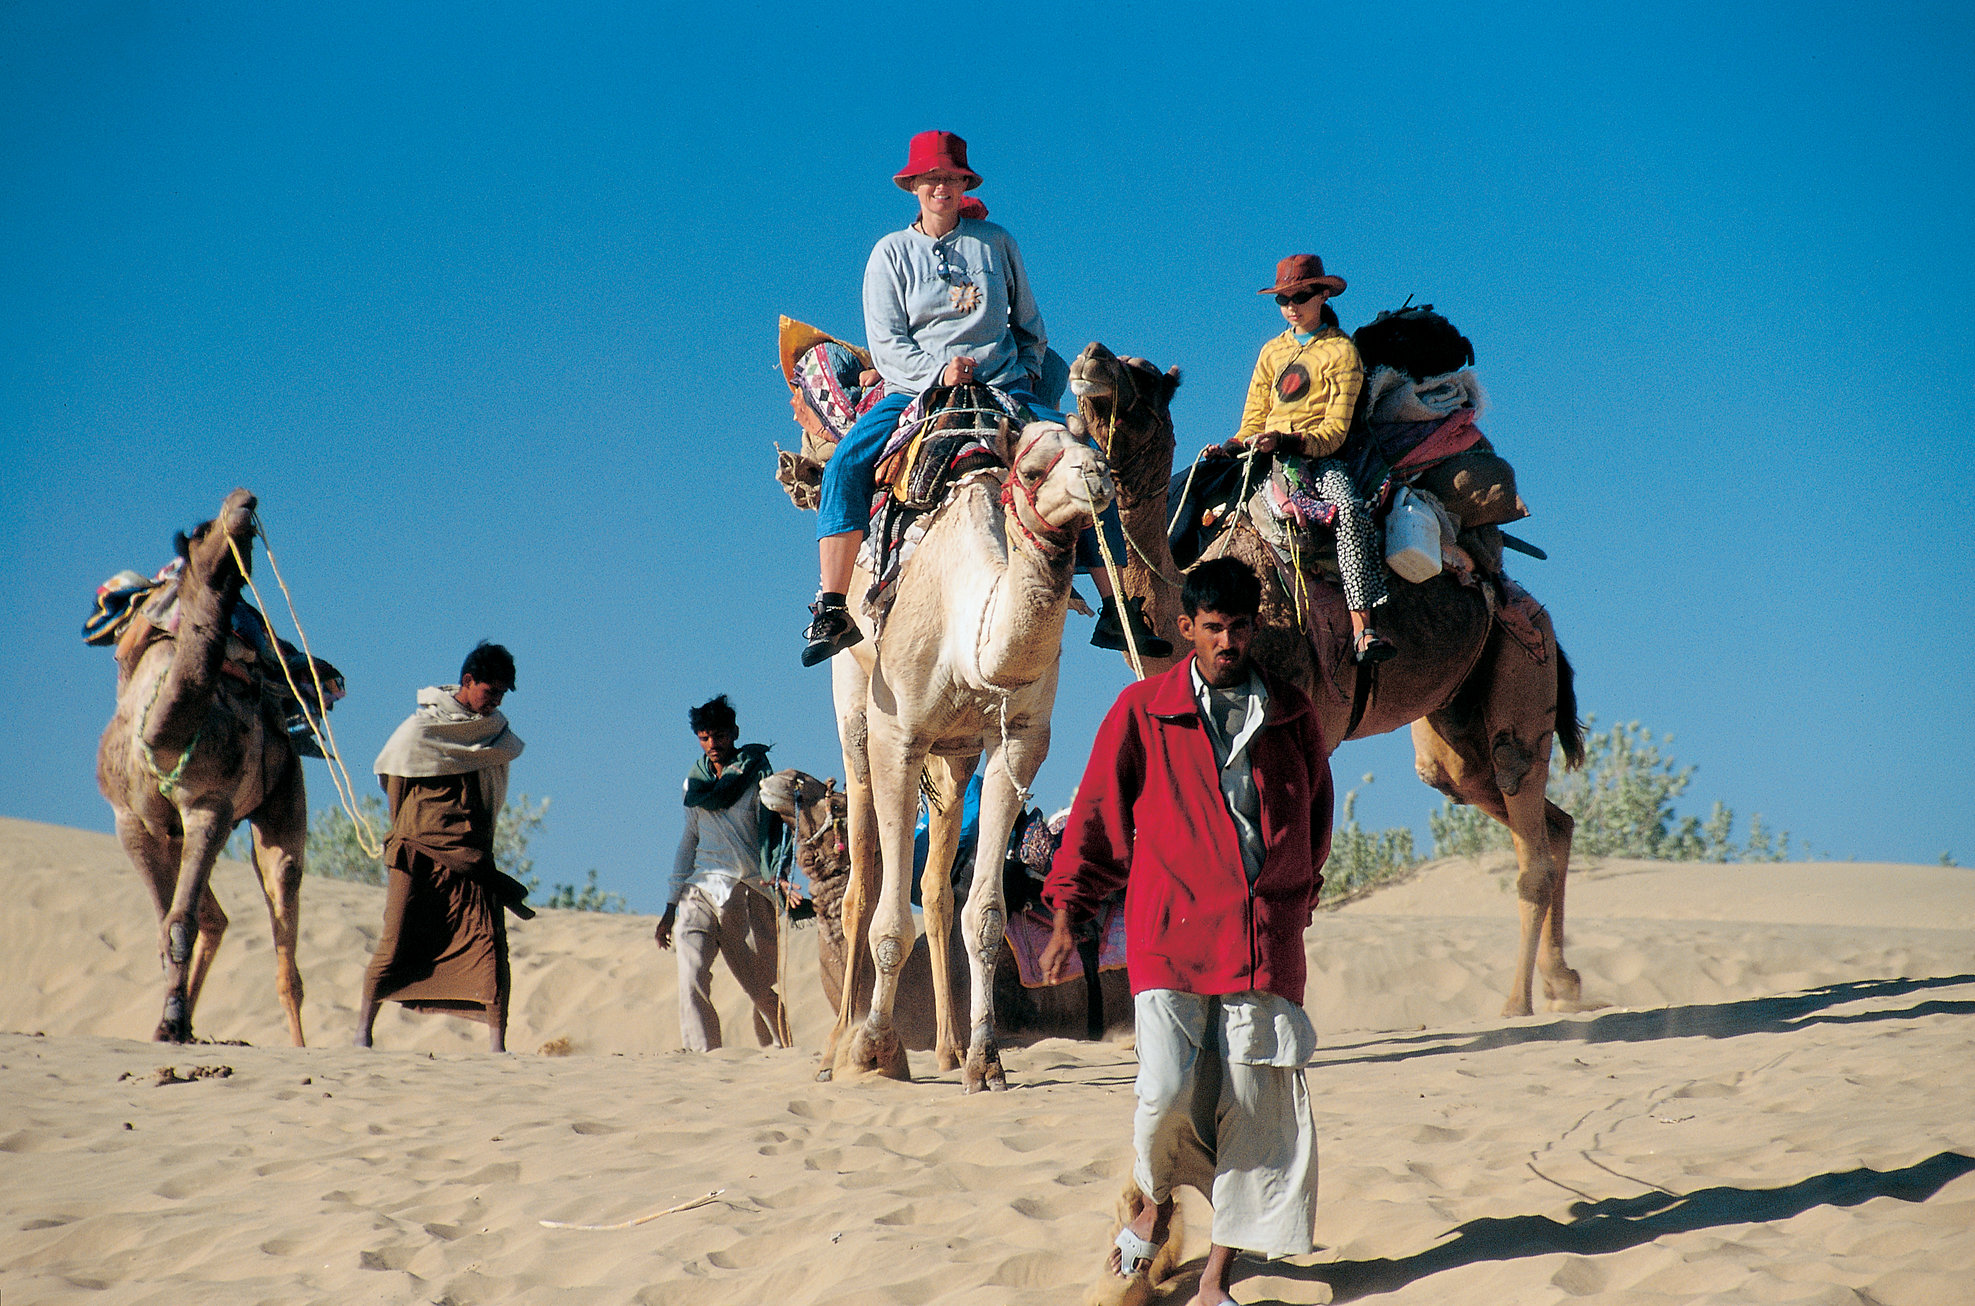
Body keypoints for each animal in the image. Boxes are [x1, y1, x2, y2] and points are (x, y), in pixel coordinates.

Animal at [95, 484, 308, 1043]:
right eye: (203, 529)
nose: (244, 499)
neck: (164, 732)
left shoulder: (210, 806)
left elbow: (179, 923)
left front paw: (171, 1020)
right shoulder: (131, 822)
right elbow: (167, 923)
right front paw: (169, 1022)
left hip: (284, 788)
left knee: (281, 902)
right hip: (173, 833)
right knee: (215, 917)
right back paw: (185, 1022)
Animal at [813, 412, 1113, 1082]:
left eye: (1093, 446)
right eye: (1035, 470)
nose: (1098, 478)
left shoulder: (1017, 743)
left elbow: (986, 916)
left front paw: (985, 1060)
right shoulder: (899, 737)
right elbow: (889, 921)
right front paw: (876, 1049)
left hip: (955, 755)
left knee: (934, 887)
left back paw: (948, 1048)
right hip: (854, 709)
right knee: (861, 883)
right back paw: (836, 1048)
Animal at [1066, 345, 1587, 1019]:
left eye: (1148, 378)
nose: (1092, 358)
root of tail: (1531, 606)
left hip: (1524, 670)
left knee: (1523, 810)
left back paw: (1516, 1006)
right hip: (1453, 726)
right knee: (1533, 814)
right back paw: (1563, 981)